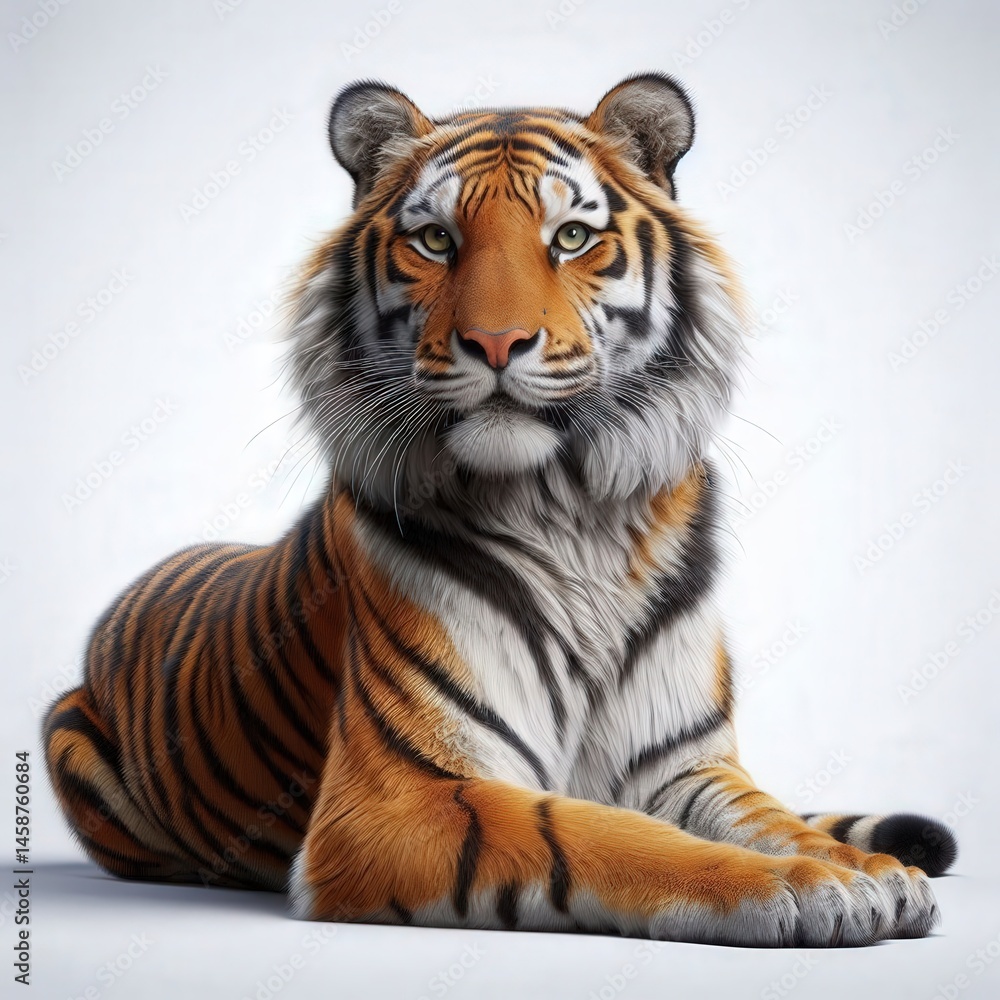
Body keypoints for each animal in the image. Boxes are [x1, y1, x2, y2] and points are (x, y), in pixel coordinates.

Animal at [43, 73, 957, 947]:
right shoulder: (402, 795)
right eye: (436, 240)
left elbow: (770, 819)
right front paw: (809, 887)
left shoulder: (688, 767)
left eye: (572, 238)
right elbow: (610, 835)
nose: (494, 343)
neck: (574, 516)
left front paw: (868, 872)